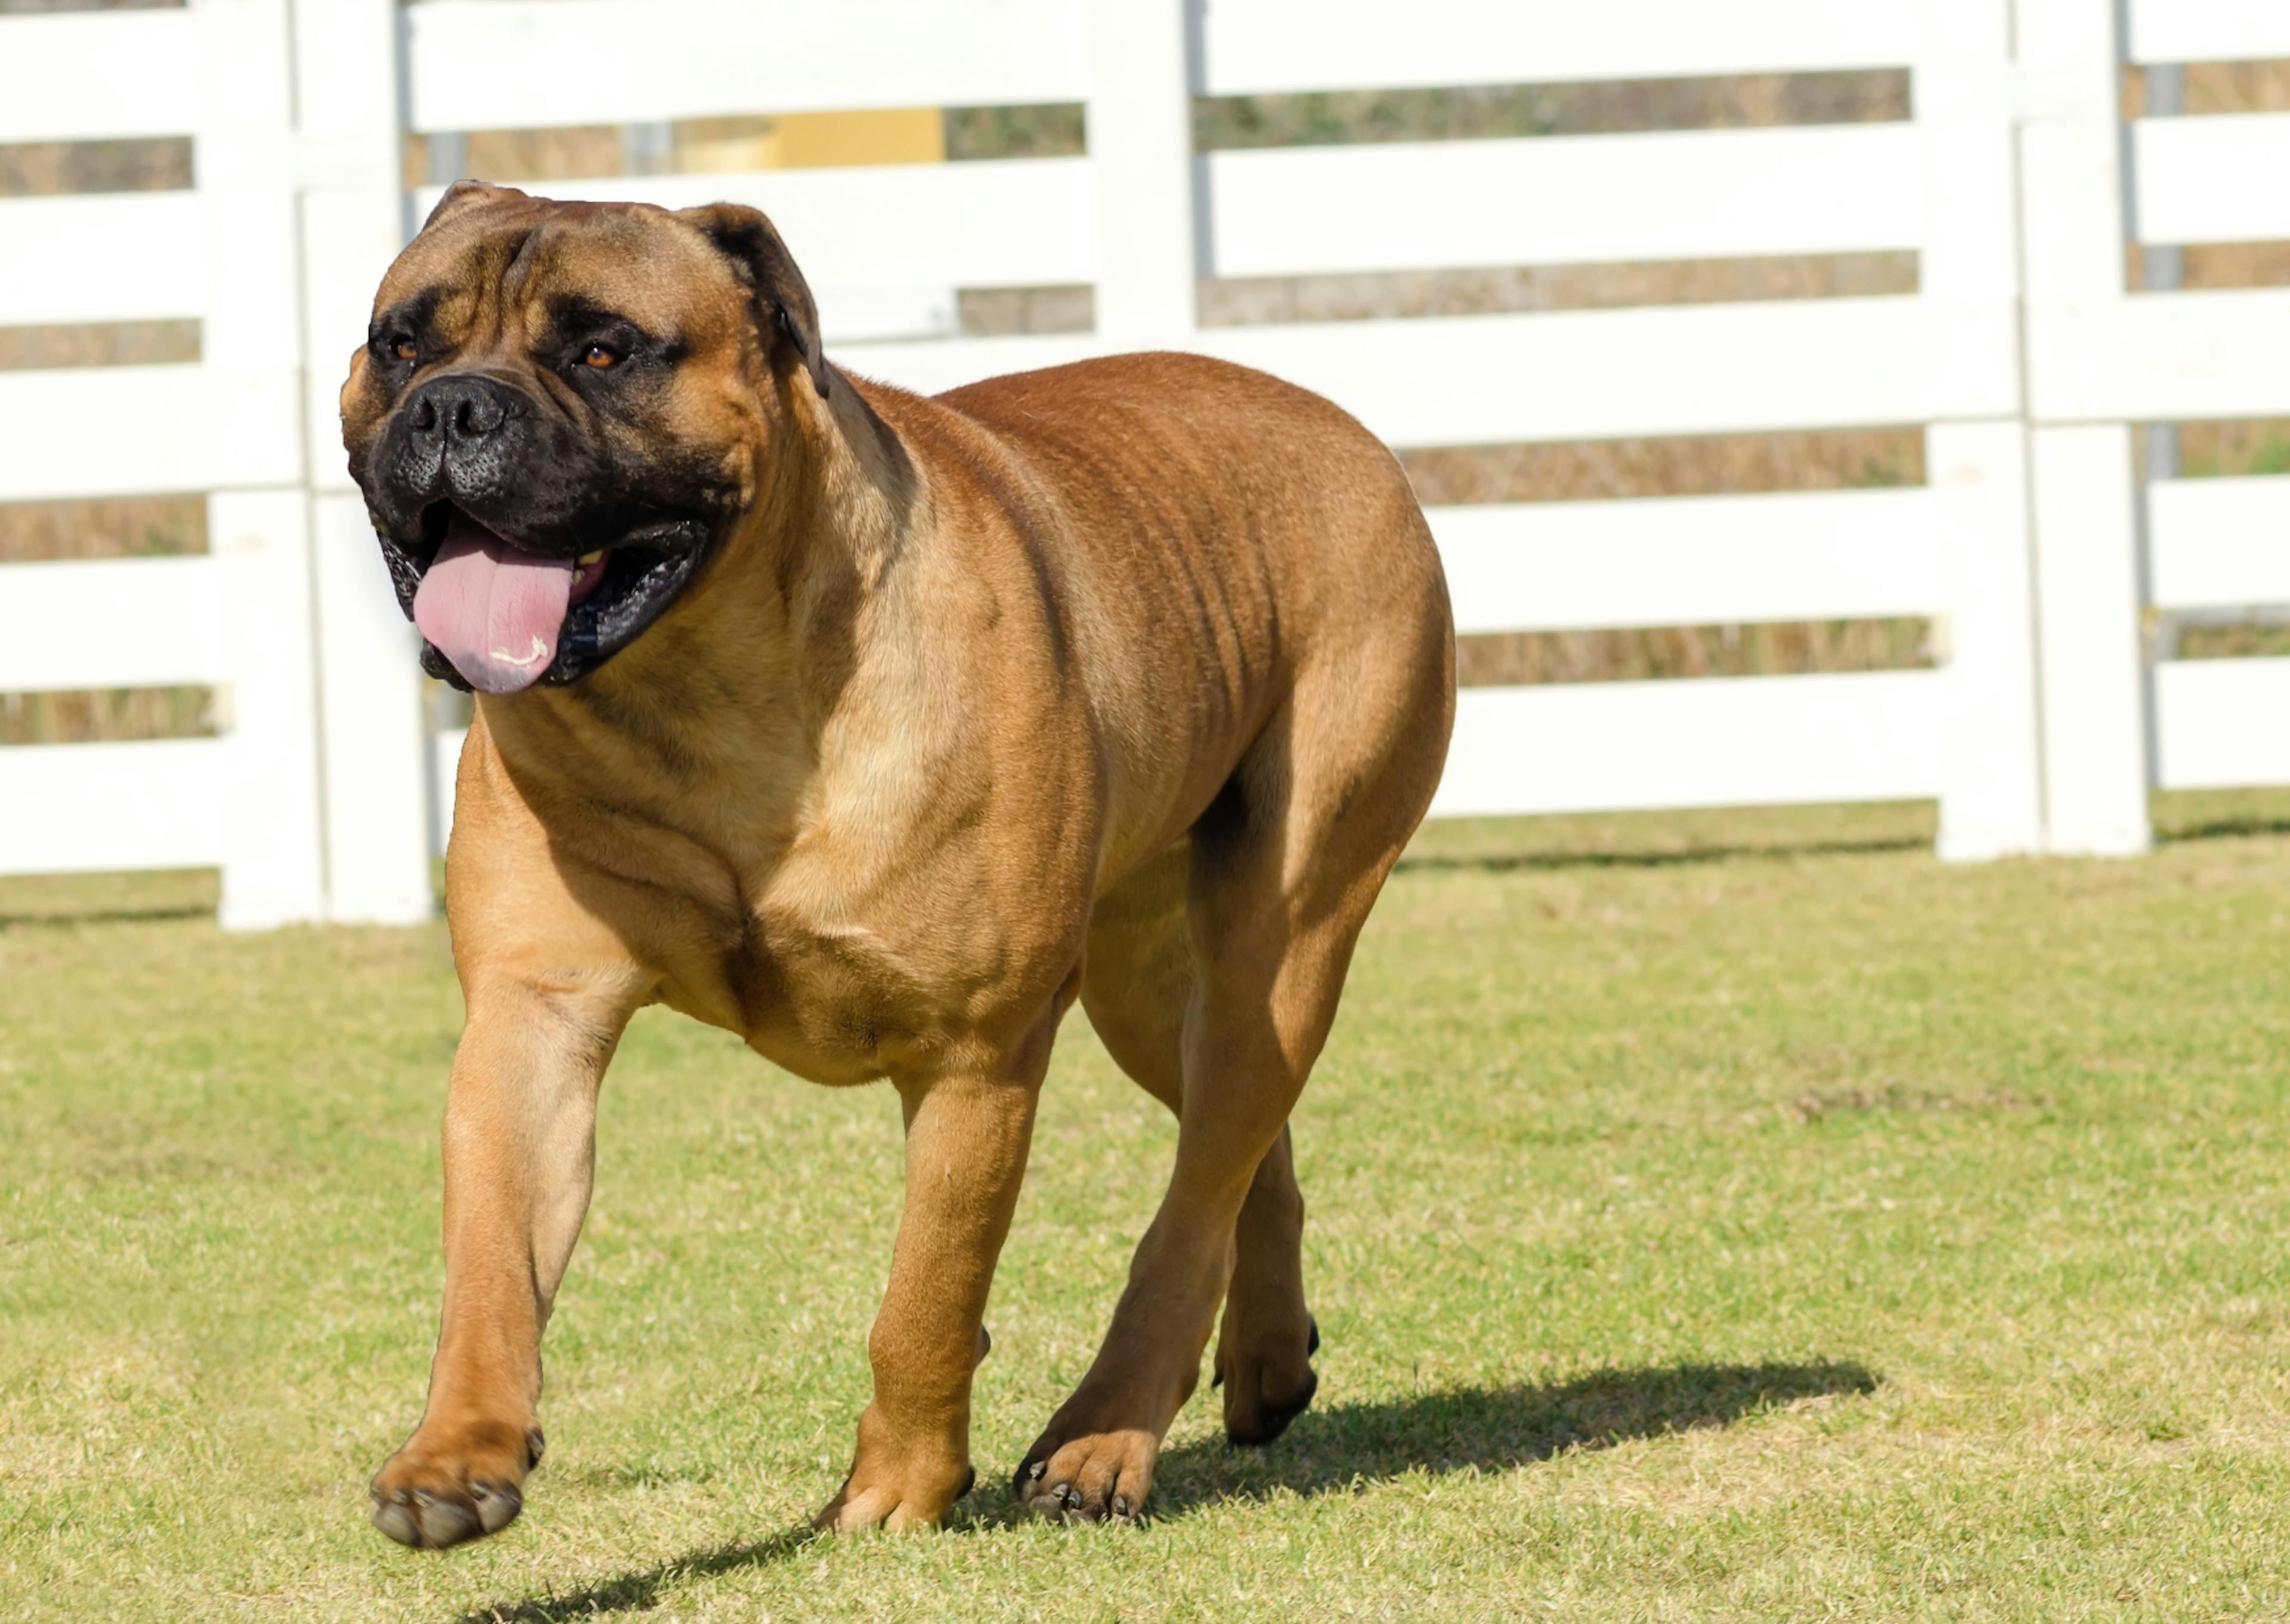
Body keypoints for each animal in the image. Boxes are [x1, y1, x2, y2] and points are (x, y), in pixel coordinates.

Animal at [344, 183, 1447, 1539]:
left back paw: (1103, 1439)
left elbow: (926, 1295)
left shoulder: (975, 1053)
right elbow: (492, 1260)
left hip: (1284, 929)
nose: (452, 408)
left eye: (604, 351)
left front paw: (897, 1490)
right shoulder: (532, 1016)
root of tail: (1343, 427)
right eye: (402, 343)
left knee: (1206, 1173)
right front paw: (457, 1454)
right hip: (1145, 977)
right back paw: (1269, 1358)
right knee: (1241, 1143)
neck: (701, 694)